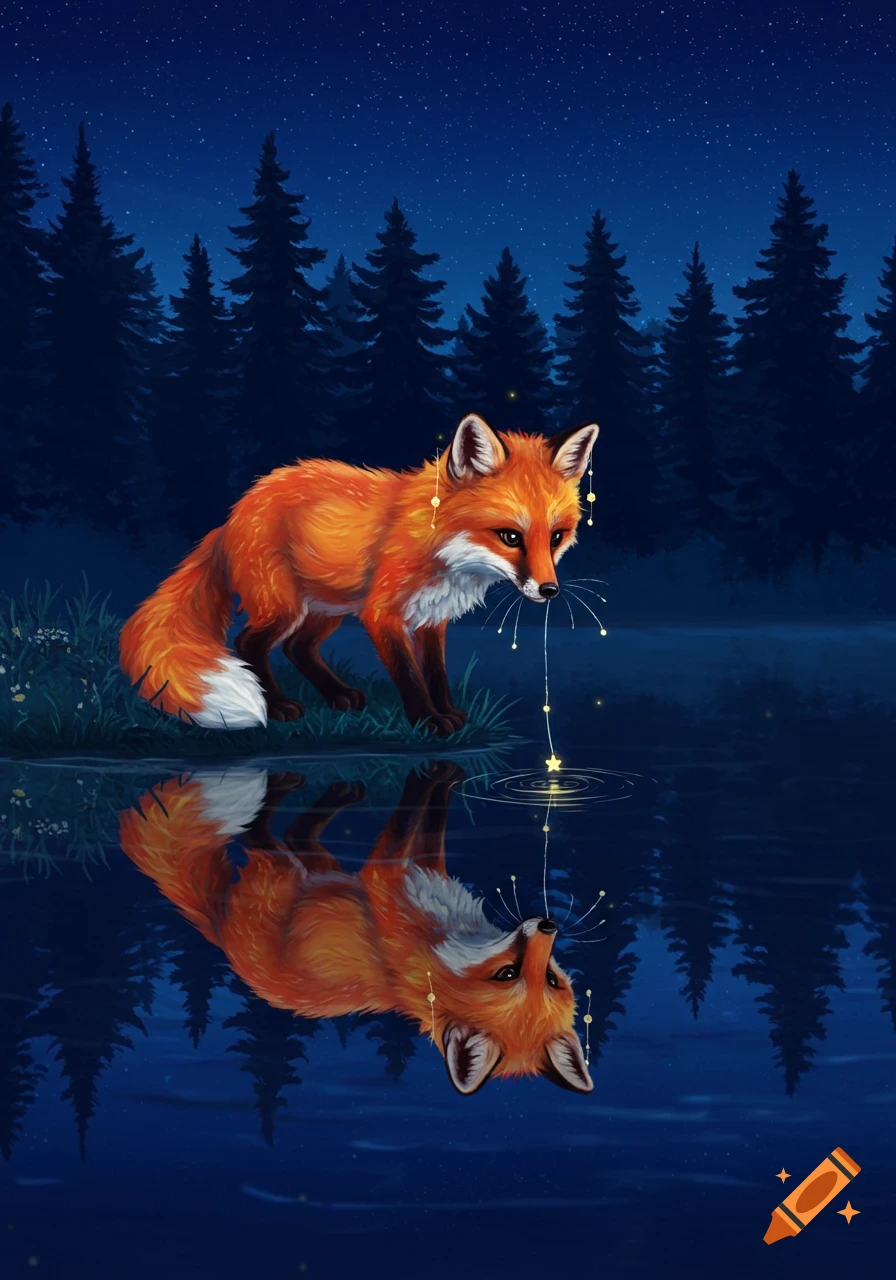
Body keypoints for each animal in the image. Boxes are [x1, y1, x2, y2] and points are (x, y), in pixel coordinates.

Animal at [117, 762, 594, 1096]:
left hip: (287, 872)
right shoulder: (407, 874)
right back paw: (323, 791)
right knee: (292, 833)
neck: (437, 949)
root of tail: (222, 935)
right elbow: (424, 821)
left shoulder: (389, 878)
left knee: (268, 834)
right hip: (311, 871)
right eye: (513, 974)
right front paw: (440, 778)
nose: (548, 924)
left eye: (546, 979)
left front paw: (431, 777)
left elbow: (410, 822)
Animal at [118, 413, 599, 735]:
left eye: (556, 536)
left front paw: (446, 711)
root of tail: (232, 515)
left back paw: (338, 696)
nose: (550, 590)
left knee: (297, 647)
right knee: (249, 644)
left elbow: (437, 671)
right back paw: (277, 706)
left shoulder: (433, 617)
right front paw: (428, 720)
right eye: (510, 537)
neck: (442, 550)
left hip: (326, 608)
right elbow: (408, 674)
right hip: (286, 606)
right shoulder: (381, 614)